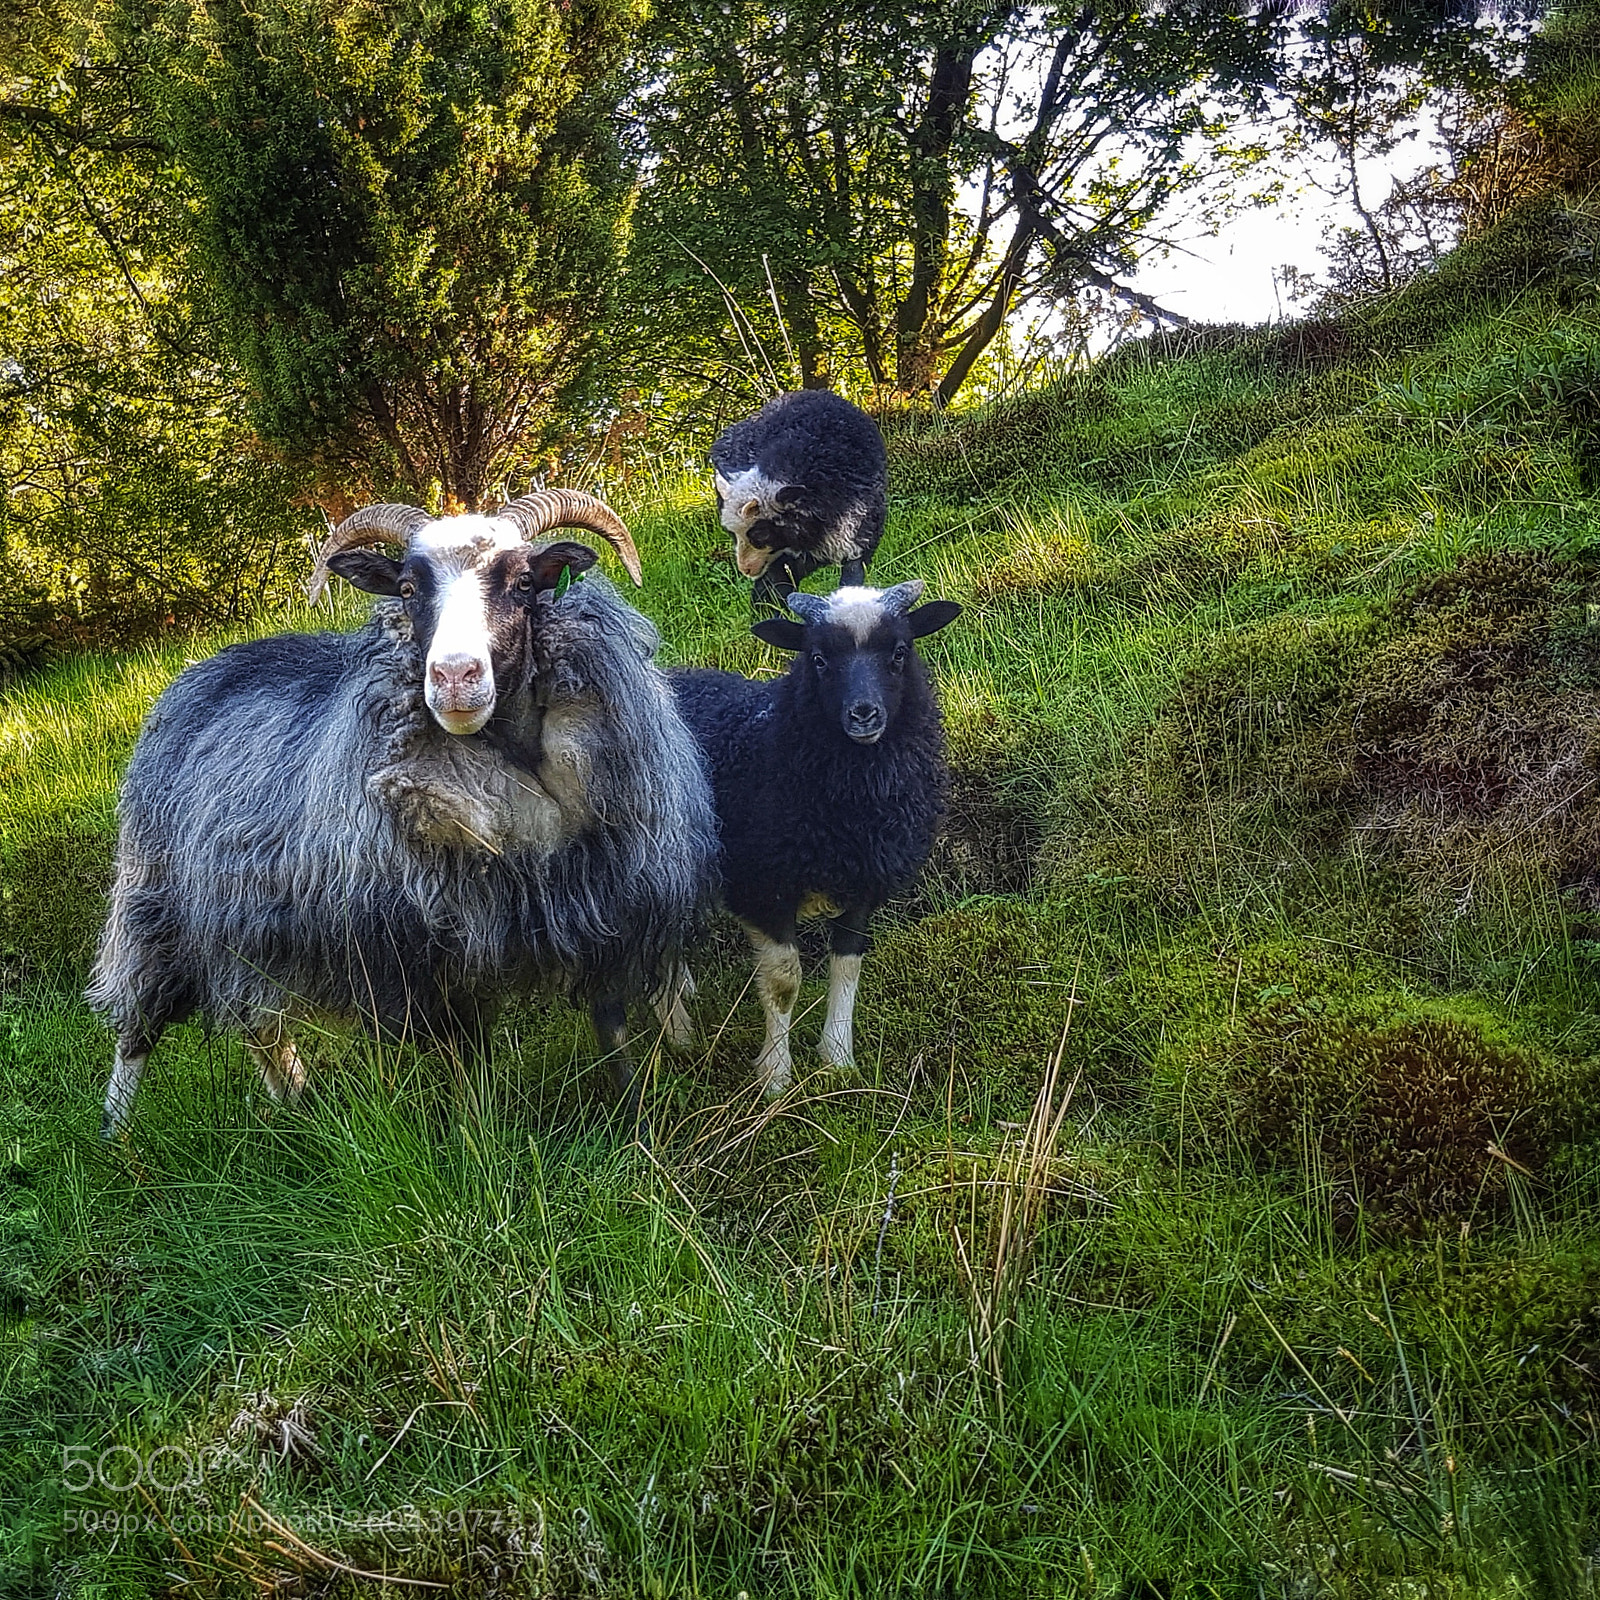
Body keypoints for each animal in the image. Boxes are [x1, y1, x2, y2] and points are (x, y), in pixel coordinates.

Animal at [89, 490, 718, 1135]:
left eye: (524, 583)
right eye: (409, 589)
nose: (454, 676)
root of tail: (195, 673)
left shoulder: (599, 907)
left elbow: (613, 1034)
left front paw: (637, 1124)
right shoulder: (428, 952)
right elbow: (469, 1061)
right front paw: (478, 1137)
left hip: (243, 922)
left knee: (260, 1024)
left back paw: (294, 1106)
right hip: (156, 906)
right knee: (137, 1025)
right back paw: (117, 1136)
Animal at [667, 581, 960, 1094]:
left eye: (899, 652)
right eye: (818, 658)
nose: (864, 715)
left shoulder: (863, 883)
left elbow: (847, 964)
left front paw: (838, 1059)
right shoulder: (764, 889)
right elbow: (784, 981)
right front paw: (775, 1076)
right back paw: (680, 1036)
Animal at [710, 390, 888, 607]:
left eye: (760, 535)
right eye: (731, 534)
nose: (746, 570)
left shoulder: (857, 540)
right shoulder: (784, 562)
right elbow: (776, 591)